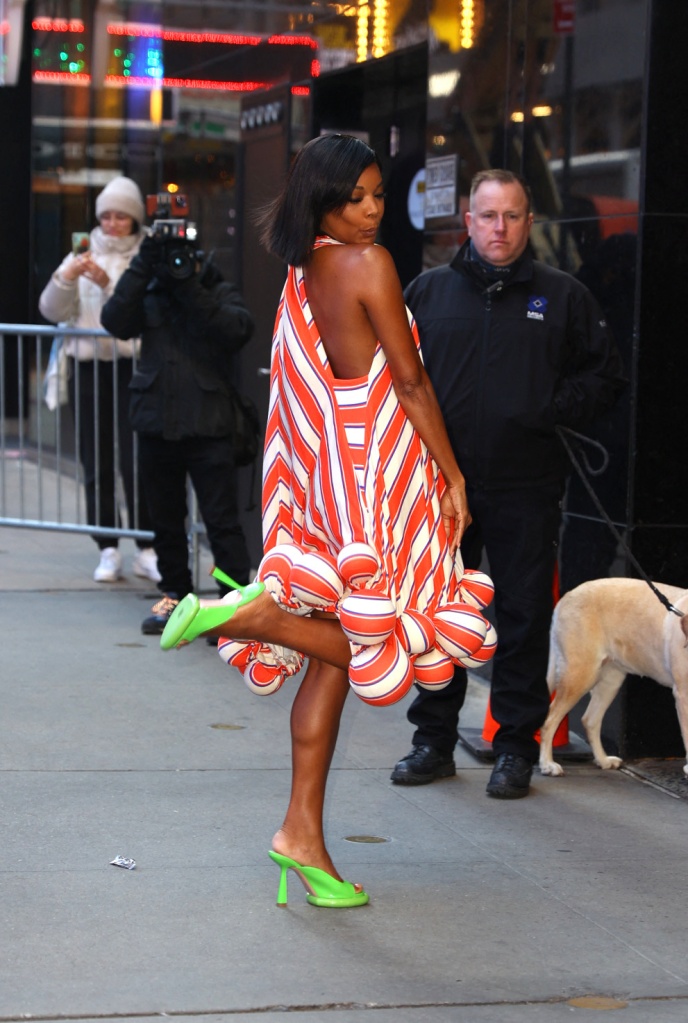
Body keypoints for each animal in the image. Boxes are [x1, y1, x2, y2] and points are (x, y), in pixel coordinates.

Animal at [539, 576, 686, 773]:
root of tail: (566, 596)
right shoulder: (682, 695)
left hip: (610, 680)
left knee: (590, 720)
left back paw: (603, 760)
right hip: (580, 674)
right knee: (549, 720)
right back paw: (547, 764)